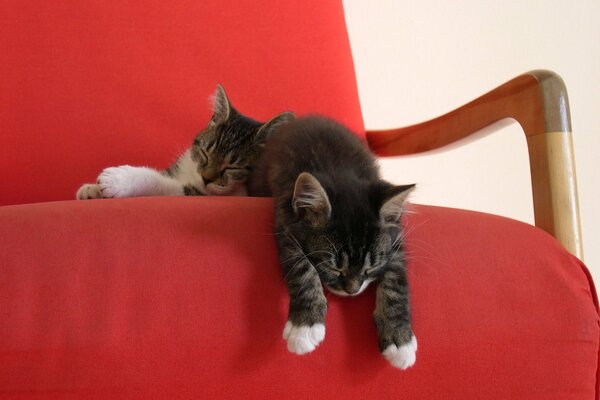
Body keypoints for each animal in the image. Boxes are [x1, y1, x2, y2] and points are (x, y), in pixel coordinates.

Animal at [76, 86, 292, 202]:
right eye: (205, 153)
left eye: (233, 167)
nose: (206, 178)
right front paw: (91, 189)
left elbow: (160, 183)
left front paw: (118, 179)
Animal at [248, 115, 418, 368]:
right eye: (333, 267)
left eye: (371, 267)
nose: (352, 291)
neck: (339, 169)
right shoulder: (285, 221)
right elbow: (302, 269)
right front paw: (305, 325)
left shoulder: (396, 239)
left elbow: (396, 282)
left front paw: (399, 339)